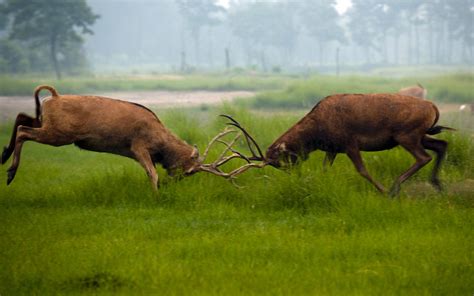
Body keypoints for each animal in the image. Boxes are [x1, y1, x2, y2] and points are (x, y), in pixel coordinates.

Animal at [1, 85, 260, 190]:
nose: (174, 182)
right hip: (59, 134)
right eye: (190, 171)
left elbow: (150, 172)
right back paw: (10, 172)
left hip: (49, 124)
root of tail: (52, 97)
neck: (161, 144)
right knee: (24, 130)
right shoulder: (137, 147)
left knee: (22, 116)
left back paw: (4, 155)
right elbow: (152, 173)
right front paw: (157, 195)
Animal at [228, 95, 454, 197]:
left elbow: (362, 170)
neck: (316, 133)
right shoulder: (333, 149)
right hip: (420, 135)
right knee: (442, 144)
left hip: (406, 135)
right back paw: (438, 185)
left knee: (424, 157)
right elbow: (325, 169)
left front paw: (382, 191)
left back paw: (394, 187)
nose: (293, 174)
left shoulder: (350, 143)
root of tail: (433, 107)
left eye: (280, 160)